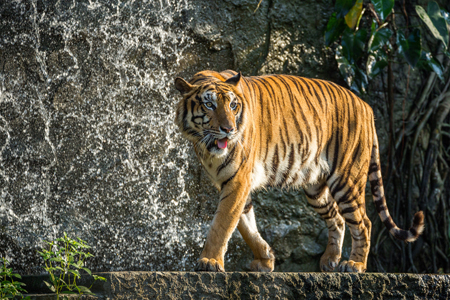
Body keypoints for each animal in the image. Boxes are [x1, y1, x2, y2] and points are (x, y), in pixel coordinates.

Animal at [174, 69, 424, 272]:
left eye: (233, 106)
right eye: (209, 105)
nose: (229, 129)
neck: (205, 145)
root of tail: (366, 106)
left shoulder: (238, 180)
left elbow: (222, 224)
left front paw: (209, 261)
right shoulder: (233, 183)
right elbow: (246, 226)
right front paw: (265, 259)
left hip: (346, 180)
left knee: (364, 222)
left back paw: (355, 264)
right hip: (316, 189)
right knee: (337, 219)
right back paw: (330, 260)